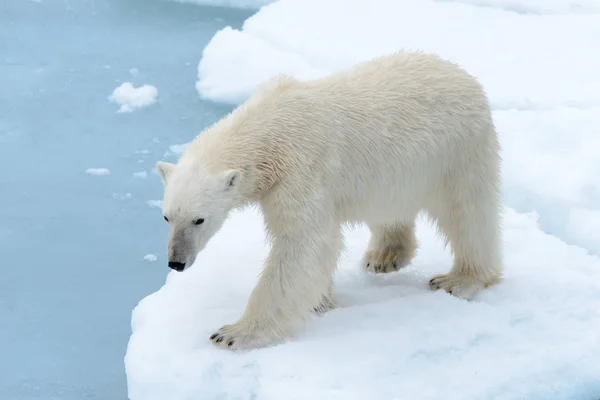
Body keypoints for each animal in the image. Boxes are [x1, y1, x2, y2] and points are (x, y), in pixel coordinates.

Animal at [155, 50, 502, 350]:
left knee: (468, 213)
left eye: (199, 219)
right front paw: (320, 301)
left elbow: (303, 243)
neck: (268, 126)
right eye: (167, 216)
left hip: (456, 152)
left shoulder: (300, 169)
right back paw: (384, 256)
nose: (176, 262)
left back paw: (460, 279)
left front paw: (234, 333)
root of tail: (463, 75)